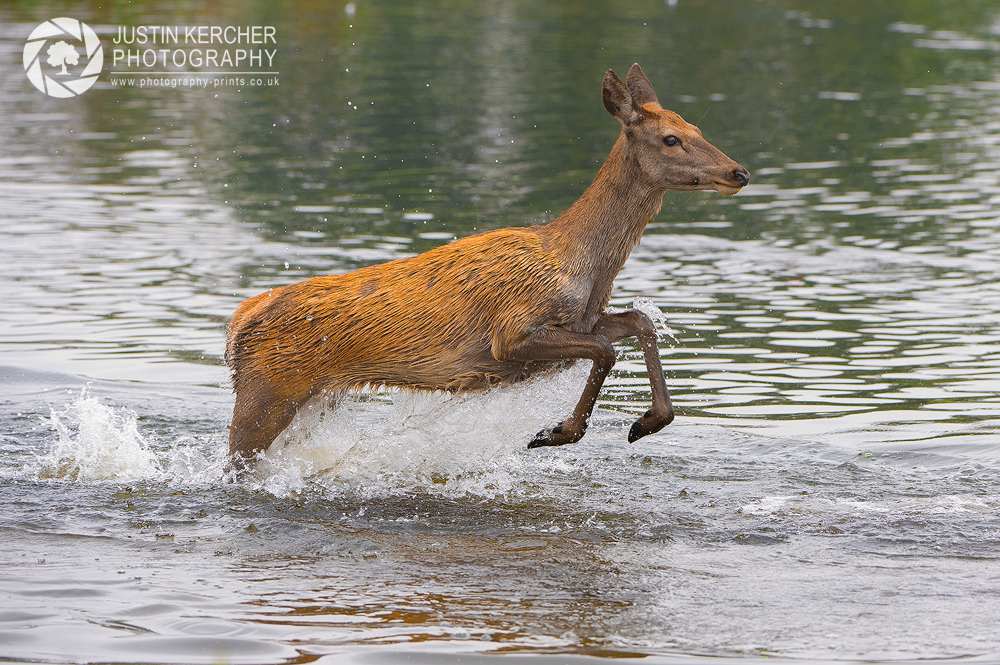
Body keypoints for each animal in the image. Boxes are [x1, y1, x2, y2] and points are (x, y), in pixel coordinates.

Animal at [223, 65, 748, 464]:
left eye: (700, 130)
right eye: (671, 139)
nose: (738, 172)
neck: (584, 264)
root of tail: (237, 324)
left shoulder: (583, 318)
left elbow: (639, 322)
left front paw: (647, 421)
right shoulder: (511, 331)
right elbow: (604, 350)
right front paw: (556, 432)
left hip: (310, 395)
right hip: (267, 390)